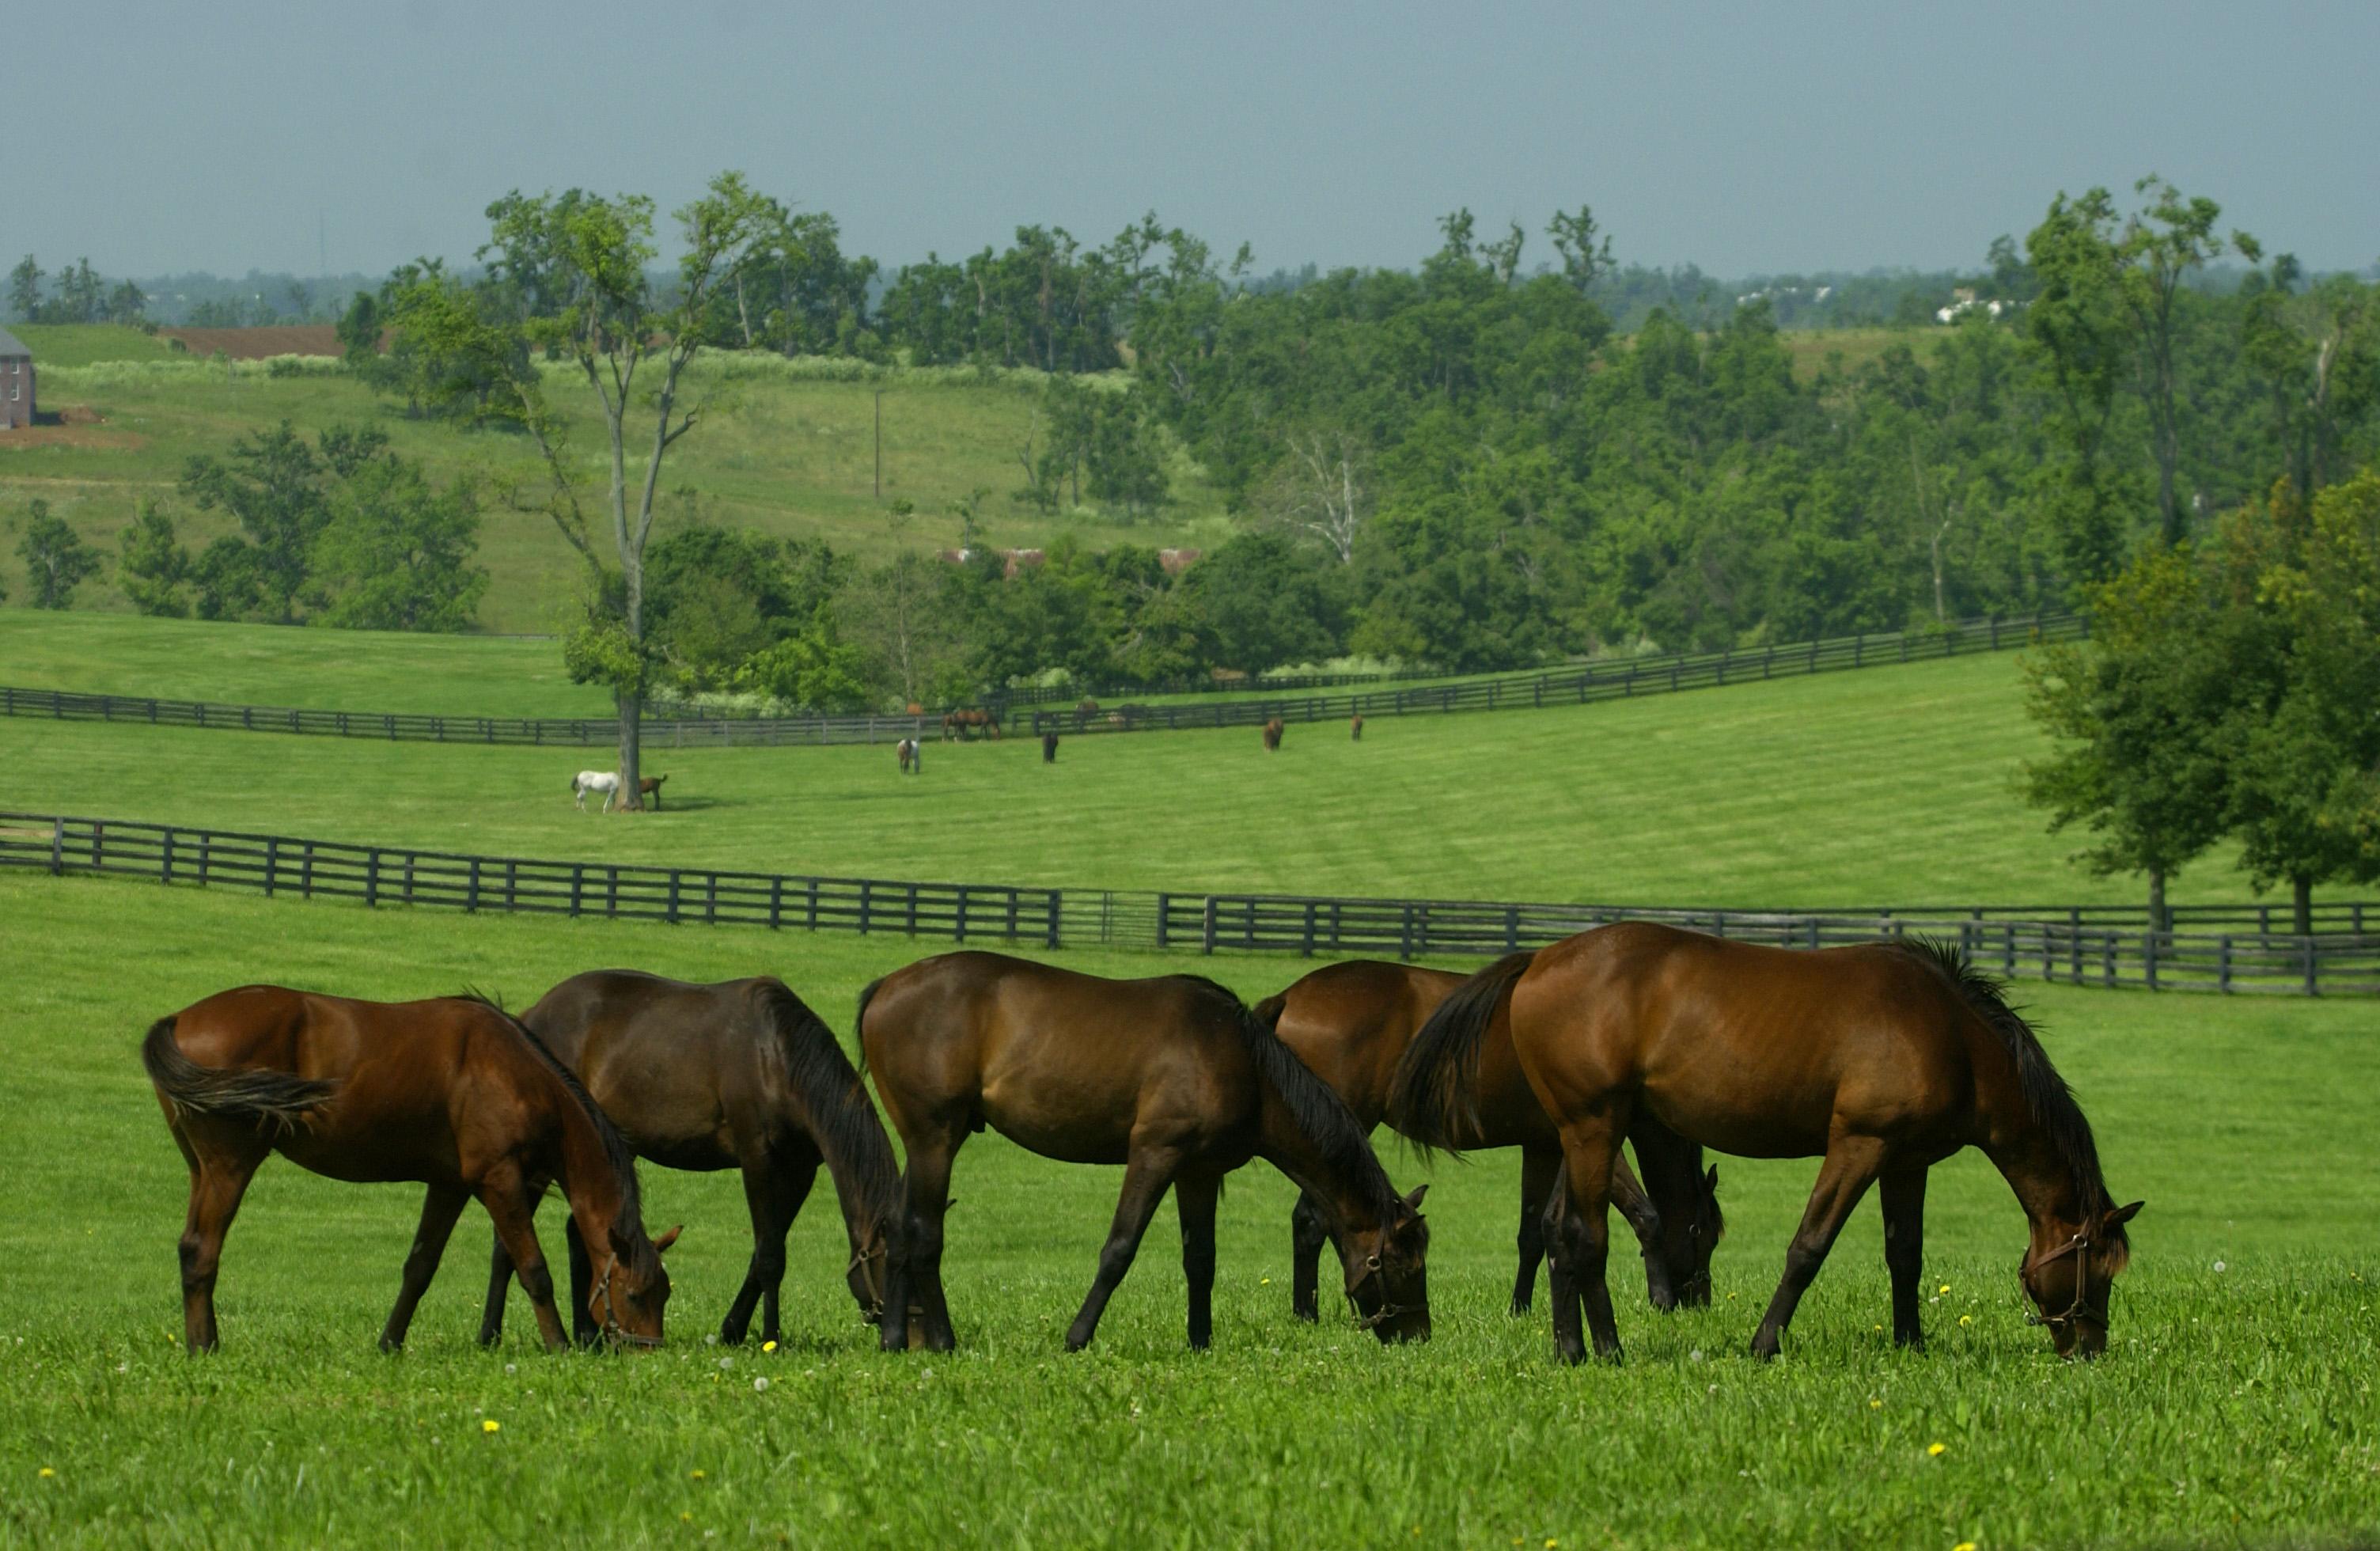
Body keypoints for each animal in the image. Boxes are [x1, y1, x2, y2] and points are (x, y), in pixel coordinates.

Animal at [140, 989, 680, 1351]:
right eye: (634, 1296)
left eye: (665, 1295)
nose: (647, 1356)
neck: (510, 1069)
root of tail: (180, 1019)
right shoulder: (499, 1181)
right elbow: (533, 1269)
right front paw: (560, 1346)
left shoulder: (448, 1186)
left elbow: (419, 1268)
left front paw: (390, 1343)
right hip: (230, 1166)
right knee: (202, 1250)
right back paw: (204, 1348)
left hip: (202, 1169)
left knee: (192, 1249)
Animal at [478, 975, 904, 1351]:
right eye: (896, 1266)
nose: (904, 1332)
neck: (778, 1058)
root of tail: (533, 1014)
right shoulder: (758, 1160)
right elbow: (770, 1258)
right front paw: (772, 1339)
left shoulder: (800, 1171)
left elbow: (765, 1252)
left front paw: (732, 1331)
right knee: (505, 1245)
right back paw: (490, 1335)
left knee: (579, 1232)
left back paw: (589, 1335)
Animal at [861, 951, 1427, 1351]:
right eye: (1405, 1265)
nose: (1418, 1335)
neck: (1244, 1063)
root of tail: (885, 986)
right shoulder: (1156, 1154)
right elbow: (1120, 1249)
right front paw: (1077, 1338)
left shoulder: (1198, 1171)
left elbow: (1201, 1258)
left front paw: (1200, 1342)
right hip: (936, 1138)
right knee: (924, 1233)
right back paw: (943, 1340)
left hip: (932, 1139)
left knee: (899, 1227)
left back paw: (894, 1339)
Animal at [1256, 956, 1722, 1322]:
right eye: (1709, 1236)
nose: (1701, 1302)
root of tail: (1291, 997)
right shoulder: (1591, 1137)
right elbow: (1646, 1214)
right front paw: (1661, 1299)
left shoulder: (1543, 1146)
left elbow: (1531, 1234)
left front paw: (1520, 1308)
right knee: (1311, 1220)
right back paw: (1307, 1312)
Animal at [1389, 927, 2151, 1360]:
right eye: (2098, 1272)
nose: (2089, 1349)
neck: (1952, 1034)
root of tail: (1538, 961)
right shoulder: (1858, 1146)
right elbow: (1808, 1249)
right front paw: (1764, 1344)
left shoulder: (1906, 1162)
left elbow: (1905, 1255)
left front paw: (1911, 1343)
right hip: (1592, 1127)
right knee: (1581, 1235)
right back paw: (1599, 1350)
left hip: (1580, 1137)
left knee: (1556, 1230)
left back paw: (1574, 1345)